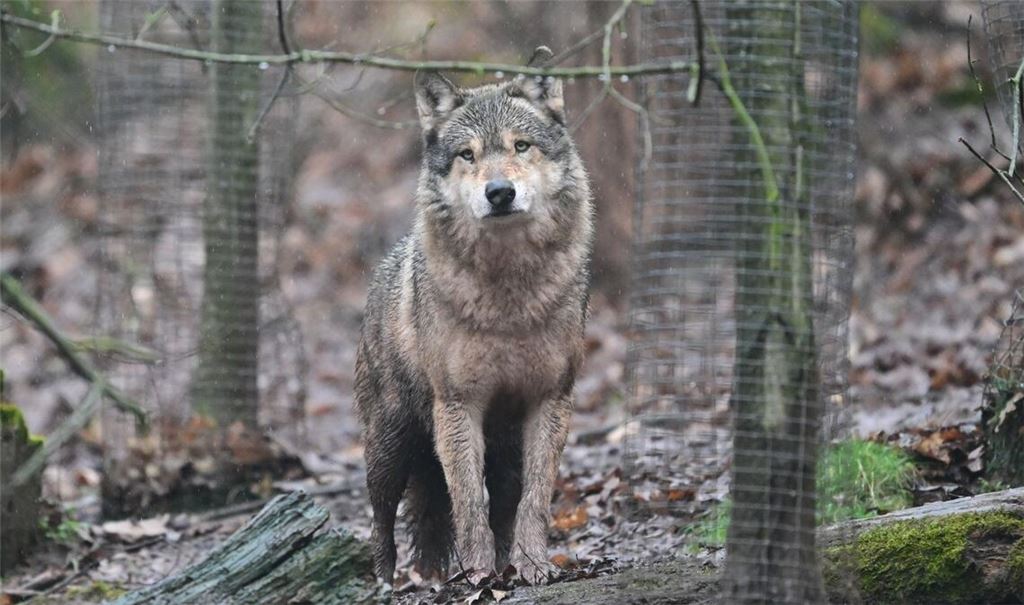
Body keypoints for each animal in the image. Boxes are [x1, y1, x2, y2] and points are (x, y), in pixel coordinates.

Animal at [354, 47, 593, 586]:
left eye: (521, 146)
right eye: (468, 155)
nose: (499, 192)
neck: (509, 298)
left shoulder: (550, 400)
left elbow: (534, 500)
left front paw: (532, 566)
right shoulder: (458, 405)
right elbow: (466, 503)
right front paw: (481, 574)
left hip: (500, 450)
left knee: (493, 503)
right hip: (391, 442)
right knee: (381, 516)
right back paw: (385, 580)